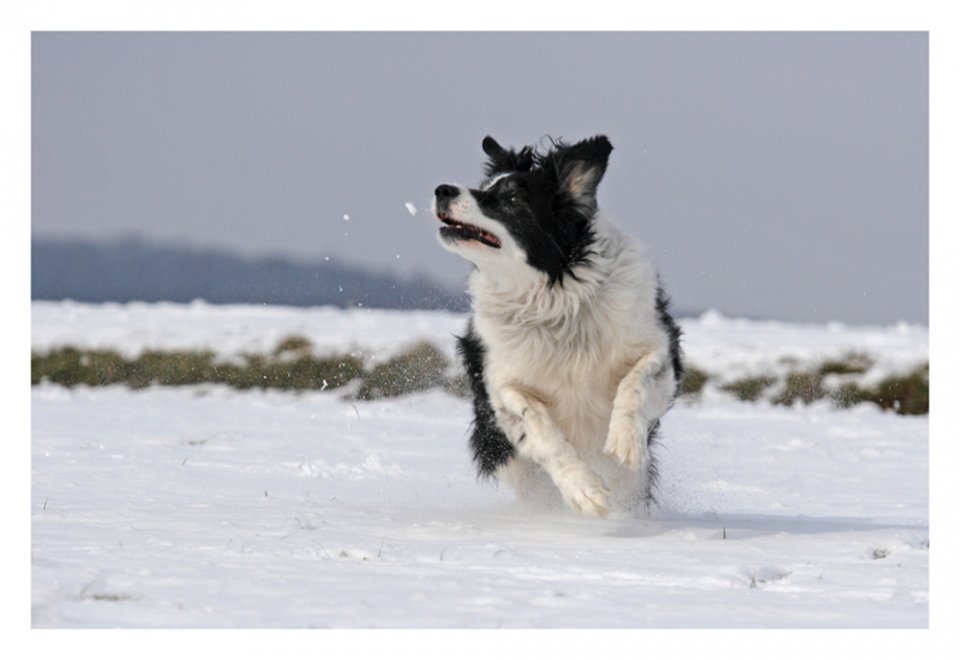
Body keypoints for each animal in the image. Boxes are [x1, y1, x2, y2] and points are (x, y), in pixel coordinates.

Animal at [436, 134, 684, 516]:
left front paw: (626, 440)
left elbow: (635, 383)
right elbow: (540, 430)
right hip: (501, 450)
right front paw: (585, 491)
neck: (557, 299)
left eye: (512, 198)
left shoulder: (658, 347)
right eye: (485, 187)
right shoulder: (501, 384)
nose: (442, 190)